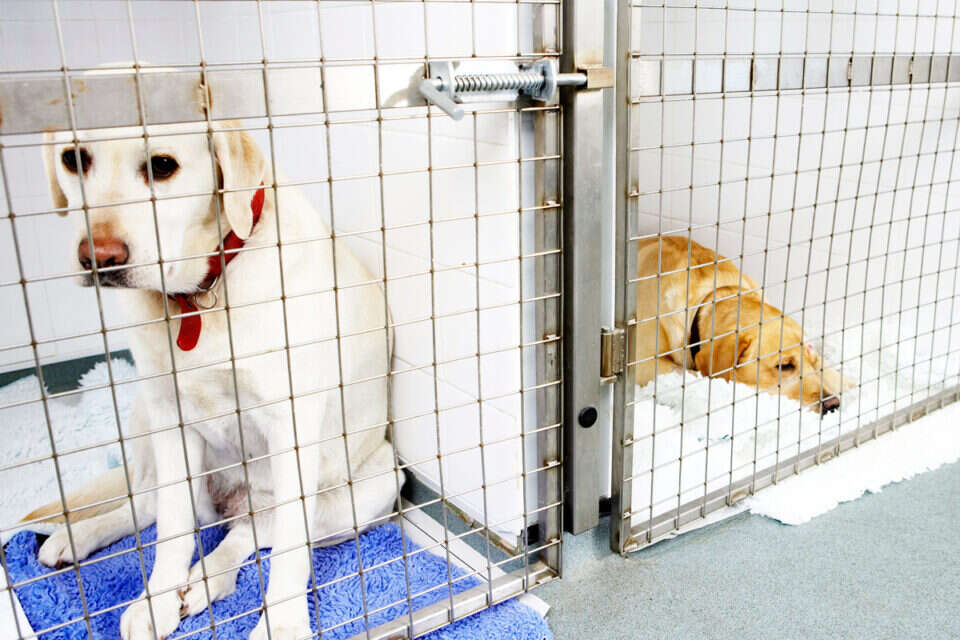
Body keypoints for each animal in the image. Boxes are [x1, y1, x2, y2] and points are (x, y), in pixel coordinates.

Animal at [26, 114, 403, 640]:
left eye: (162, 166)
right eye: (73, 158)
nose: (99, 257)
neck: (201, 296)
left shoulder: (291, 427)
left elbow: (288, 552)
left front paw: (281, 625)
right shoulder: (168, 416)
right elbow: (171, 528)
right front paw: (156, 602)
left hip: (375, 482)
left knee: (254, 533)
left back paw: (207, 580)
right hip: (144, 418)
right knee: (154, 508)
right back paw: (79, 538)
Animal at [633, 236, 852, 414]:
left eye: (813, 361)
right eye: (784, 366)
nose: (832, 404)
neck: (713, 297)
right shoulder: (644, 365)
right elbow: (689, 373)